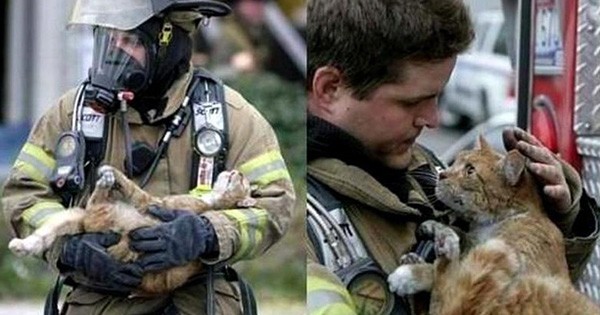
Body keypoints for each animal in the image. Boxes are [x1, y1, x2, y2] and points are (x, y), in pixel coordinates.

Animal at [8, 167, 255, 296]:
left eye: (242, 180)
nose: (238, 171)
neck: (213, 202)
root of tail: (88, 223)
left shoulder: (152, 201)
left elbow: (133, 187)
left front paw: (115, 176)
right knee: (41, 235)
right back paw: (19, 246)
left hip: (98, 211)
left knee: (99, 197)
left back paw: (107, 179)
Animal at [390, 138, 600, 315]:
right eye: (456, 162)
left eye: (470, 170)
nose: (442, 174)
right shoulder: (475, 242)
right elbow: (461, 239)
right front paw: (435, 227)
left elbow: (451, 277)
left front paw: (412, 274)